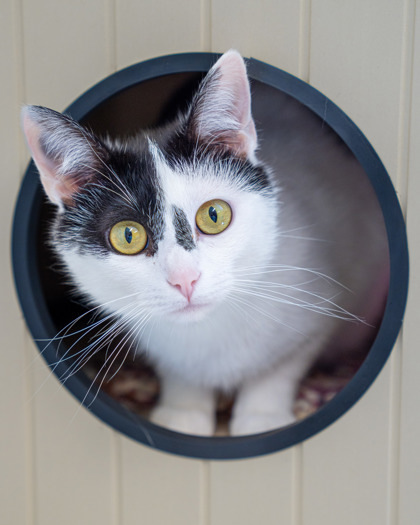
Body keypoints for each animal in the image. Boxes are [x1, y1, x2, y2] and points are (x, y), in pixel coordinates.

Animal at [22, 50, 390, 434]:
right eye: (127, 236)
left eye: (214, 215)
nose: (185, 279)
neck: (207, 333)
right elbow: (178, 373)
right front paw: (183, 411)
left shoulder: (318, 308)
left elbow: (280, 367)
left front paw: (262, 416)